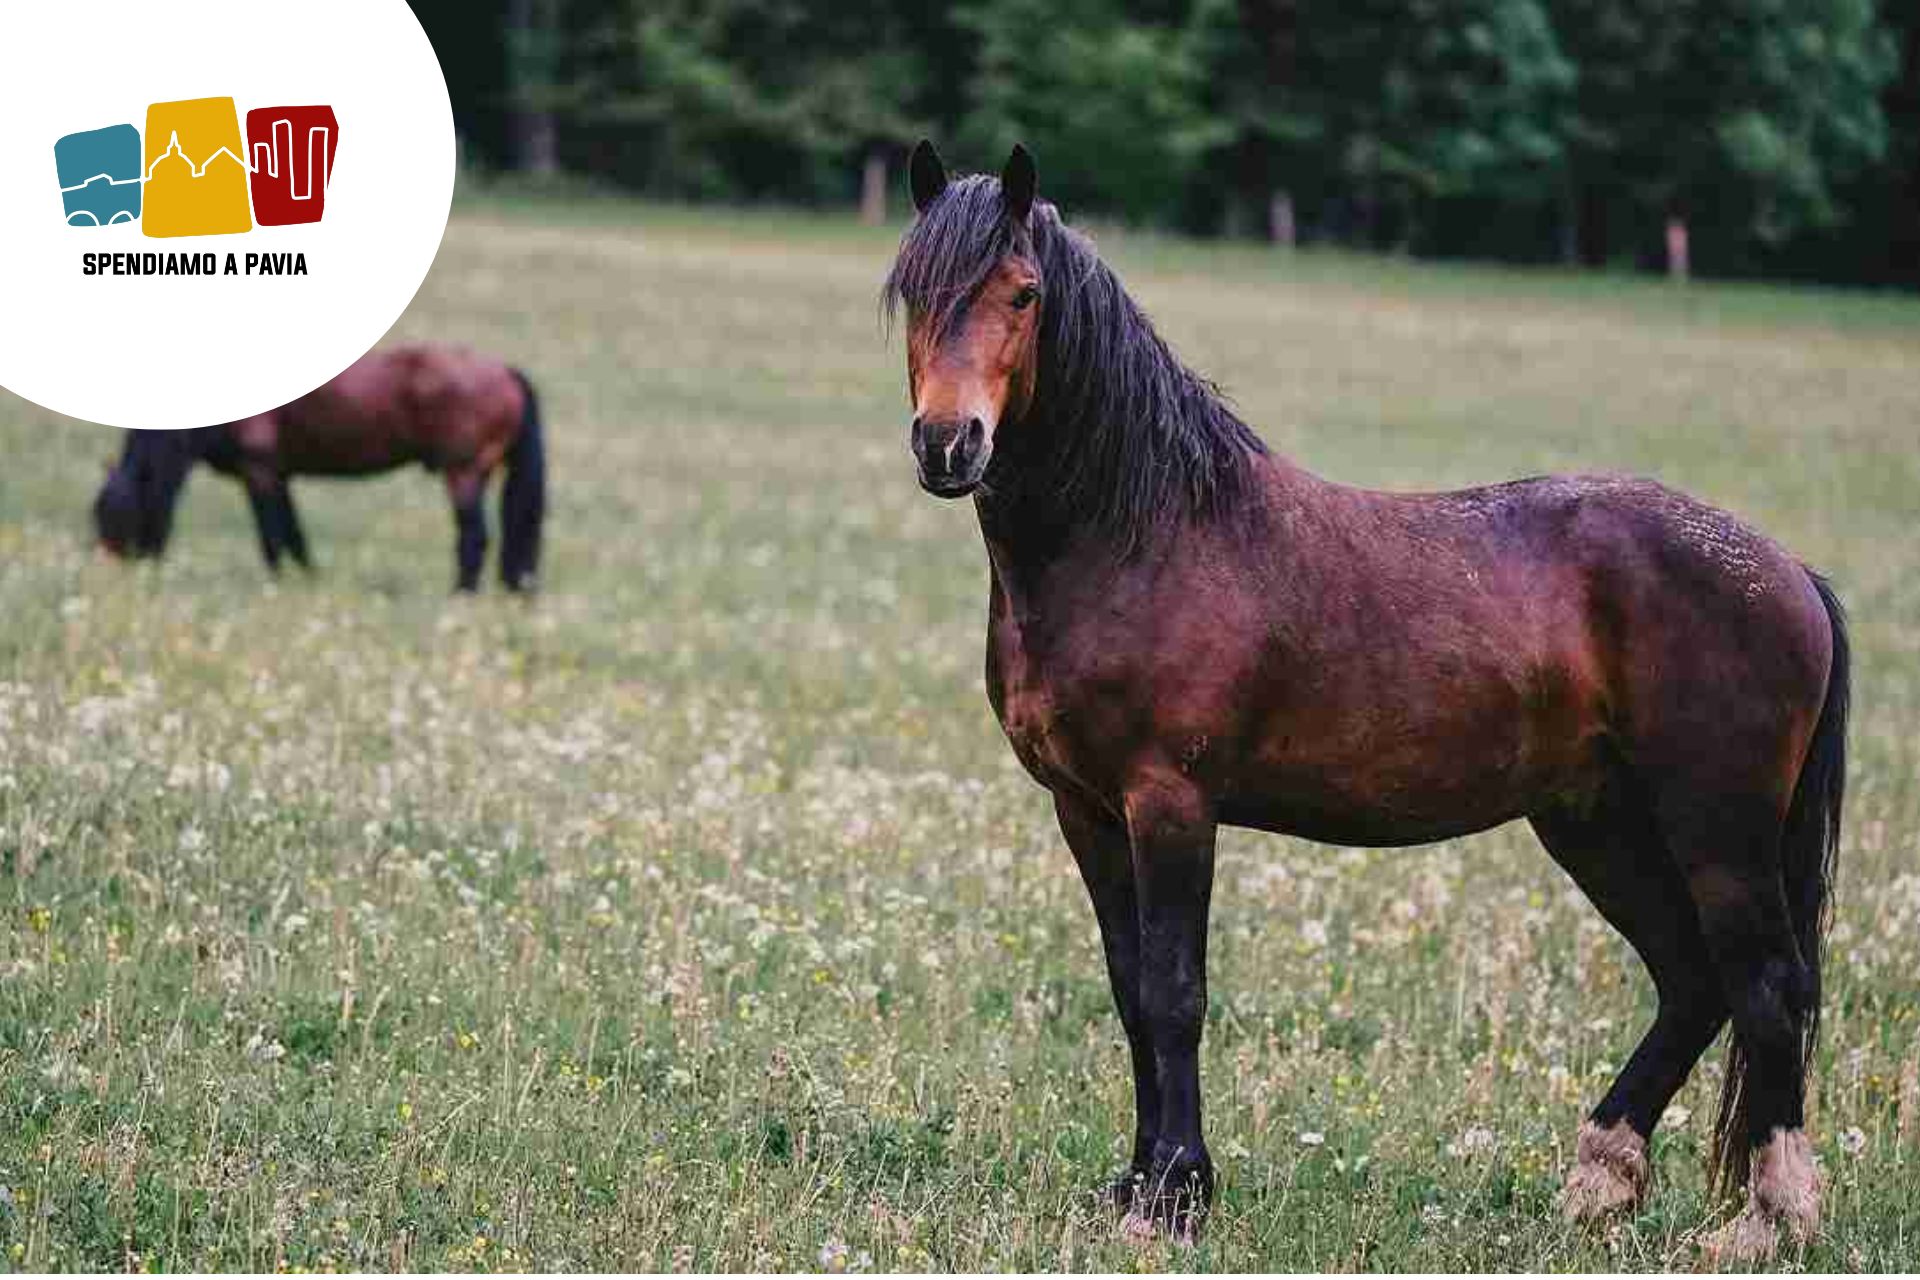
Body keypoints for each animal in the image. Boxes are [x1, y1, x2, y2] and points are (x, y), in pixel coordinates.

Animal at [93, 343, 546, 592]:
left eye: (118, 518)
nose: (110, 579)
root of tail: (506, 372)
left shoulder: (259, 471)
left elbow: (272, 538)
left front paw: (276, 586)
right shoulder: (280, 475)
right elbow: (295, 537)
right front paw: (310, 581)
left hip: (463, 473)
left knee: (474, 539)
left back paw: (460, 596)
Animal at [885, 142, 1848, 1263]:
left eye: (1024, 293)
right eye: (915, 290)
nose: (949, 444)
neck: (1141, 536)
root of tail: (1790, 573)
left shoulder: (1171, 803)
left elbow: (1174, 994)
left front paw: (1174, 1197)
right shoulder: (1084, 808)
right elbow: (1128, 991)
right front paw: (1134, 1183)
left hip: (1717, 829)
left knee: (1767, 986)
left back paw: (1769, 1224)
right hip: (1596, 820)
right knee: (1693, 980)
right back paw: (1598, 1184)